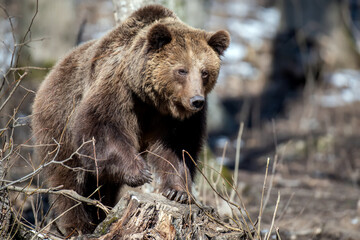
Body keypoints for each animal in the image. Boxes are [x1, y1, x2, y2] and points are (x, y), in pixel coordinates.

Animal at [30, 4, 228, 235]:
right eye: (182, 70)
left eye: (205, 72)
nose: (196, 100)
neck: (152, 100)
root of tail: (52, 72)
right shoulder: (119, 90)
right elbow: (101, 126)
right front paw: (141, 172)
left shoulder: (177, 119)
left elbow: (177, 148)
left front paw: (178, 192)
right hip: (59, 119)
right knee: (68, 176)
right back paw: (76, 224)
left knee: (104, 184)